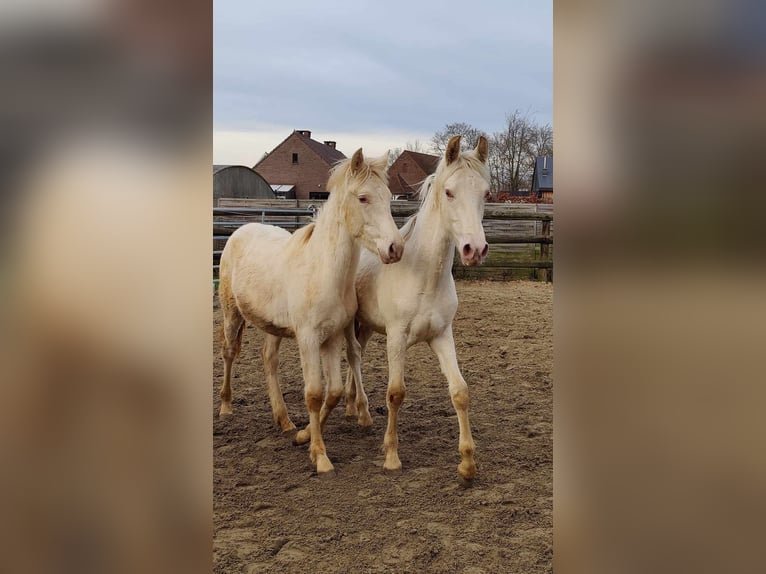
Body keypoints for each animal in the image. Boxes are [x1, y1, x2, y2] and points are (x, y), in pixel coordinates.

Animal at [218, 148, 404, 476]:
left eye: (388, 195)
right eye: (363, 198)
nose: (394, 248)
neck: (323, 270)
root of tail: (240, 230)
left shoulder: (331, 338)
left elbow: (334, 392)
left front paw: (304, 437)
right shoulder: (307, 339)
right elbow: (314, 394)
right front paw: (320, 457)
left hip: (272, 327)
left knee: (269, 360)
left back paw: (284, 421)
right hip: (231, 313)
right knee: (229, 353)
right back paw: (226, 407)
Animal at [344, 136, 488, 486]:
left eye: (486, 193)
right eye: (449, 192)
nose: (475, 249)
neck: (423, 275)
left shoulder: (441, 336)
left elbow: (460, 392)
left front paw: (467, 464)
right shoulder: (396, 338)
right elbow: (395, 393)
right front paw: (391, 457)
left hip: (366, 326)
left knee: (357, 356)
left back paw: (352, 405)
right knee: (352, 357)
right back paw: (360, 410)